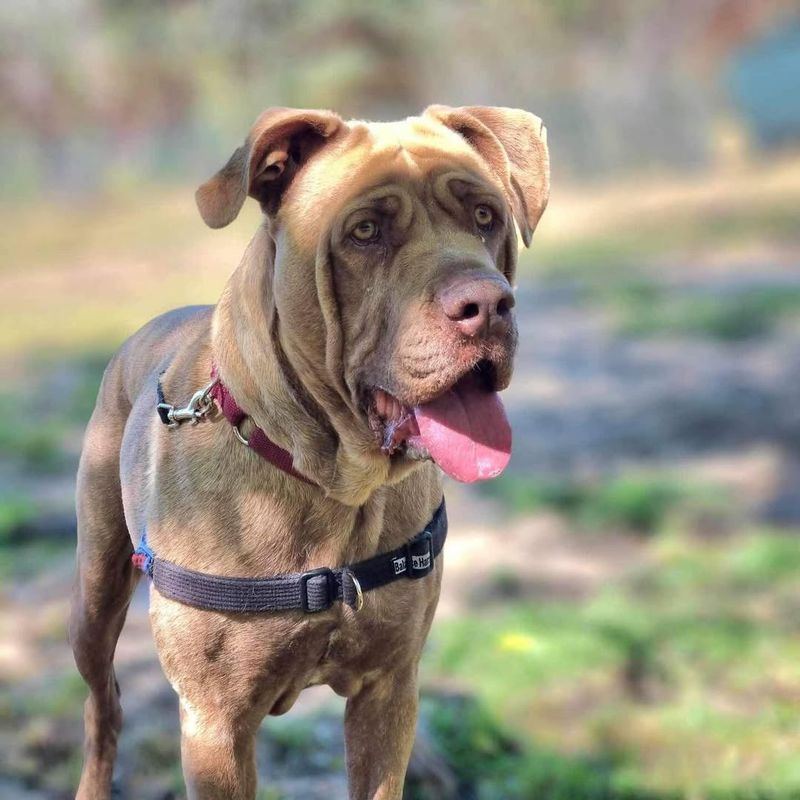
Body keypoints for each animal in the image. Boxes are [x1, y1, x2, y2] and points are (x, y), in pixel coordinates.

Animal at [70, 108, 552, 800]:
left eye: (485, 216)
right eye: (365, 232)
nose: (487, 304)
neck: (332, 483)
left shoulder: (388, 691)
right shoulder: (216, 726)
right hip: (95, 596)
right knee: (102, 705)